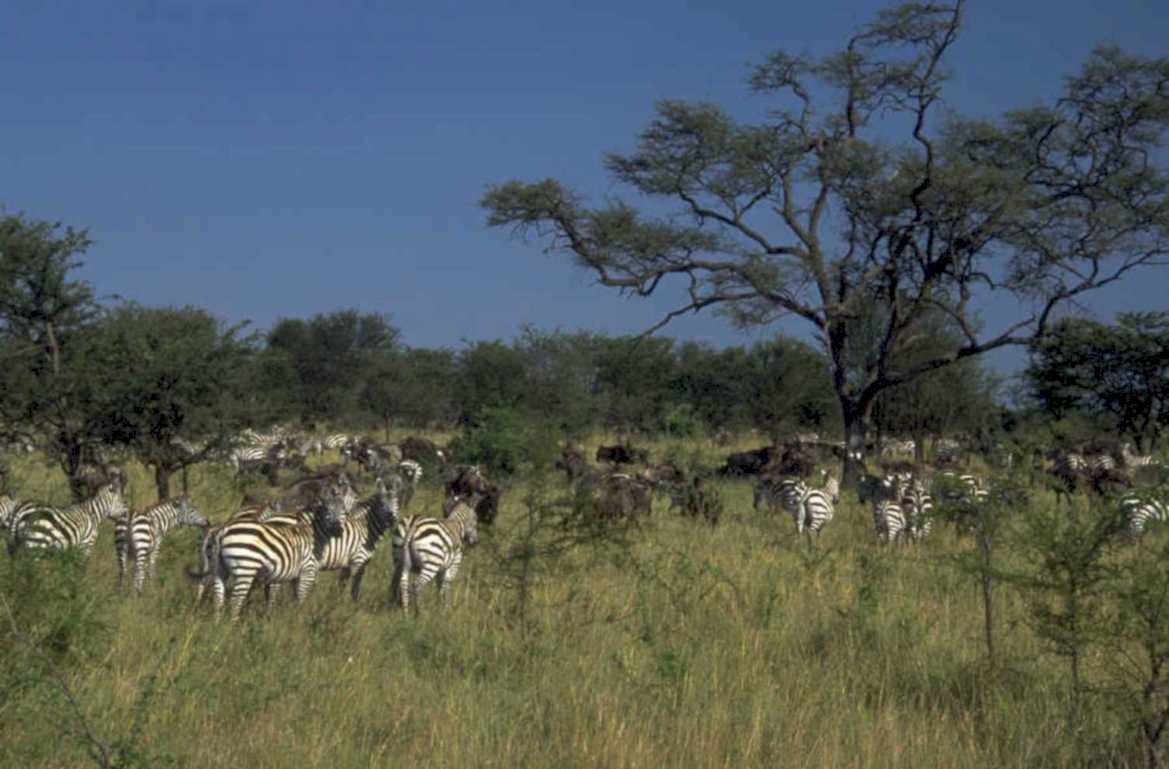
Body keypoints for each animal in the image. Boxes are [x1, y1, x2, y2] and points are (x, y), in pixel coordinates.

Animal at [208, 482, 348, 620]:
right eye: (326, 509)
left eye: (344, 510)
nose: (338, 530)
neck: (313, 533)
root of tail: (224, 530)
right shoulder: (308, 571)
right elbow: (300, 601)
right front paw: (298, 621)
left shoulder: (297, 576)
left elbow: (294, 599)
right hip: (246, 568)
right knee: (235, 601)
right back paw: (233, 625)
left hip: (220, 568)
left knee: (218, 599)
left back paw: (217, 624)